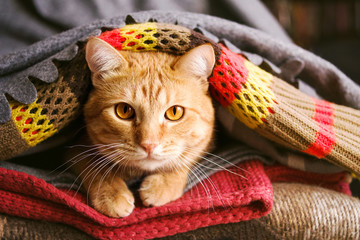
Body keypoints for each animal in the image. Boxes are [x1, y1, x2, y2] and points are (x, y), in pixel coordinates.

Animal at [70, 37, 217, 218]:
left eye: (175, 112)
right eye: (124, 110)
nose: (149, 145)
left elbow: (184, 159)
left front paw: (164, 184)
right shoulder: (75, 148)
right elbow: (94, 166)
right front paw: (111, 194)